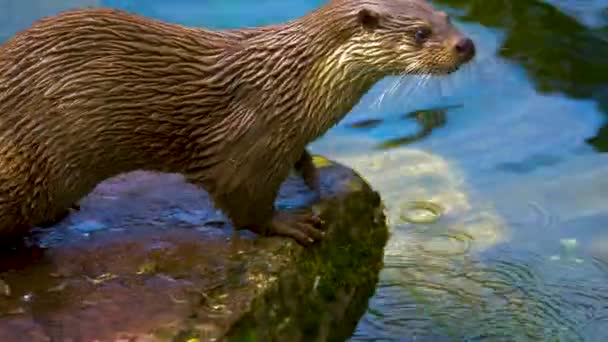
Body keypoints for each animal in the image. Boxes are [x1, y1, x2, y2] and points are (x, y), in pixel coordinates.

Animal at [0, 0, 476, 246]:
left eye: (448, 18)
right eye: (419, 33)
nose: (467, 44)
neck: (290, 85)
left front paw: (309, 172)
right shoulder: (249, 143)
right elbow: (244, 203)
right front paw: (290, 224)